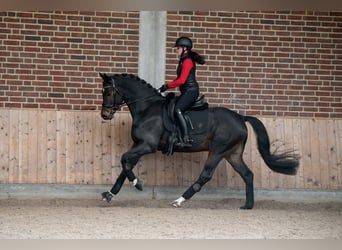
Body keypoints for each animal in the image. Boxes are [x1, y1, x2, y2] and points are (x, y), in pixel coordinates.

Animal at [99, 73, 300, 209]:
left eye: (108, 92)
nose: (105, 115)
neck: (147, 108)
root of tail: (240, 118)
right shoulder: (138, 145)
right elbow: (126, 166)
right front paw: (110, 194)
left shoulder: (147, 146)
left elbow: (124, 160)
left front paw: (138, 184)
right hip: (232, 153)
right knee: (247, 174)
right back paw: (247, 205)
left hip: (218, 151)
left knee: (206, 175)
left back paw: (179, 200)